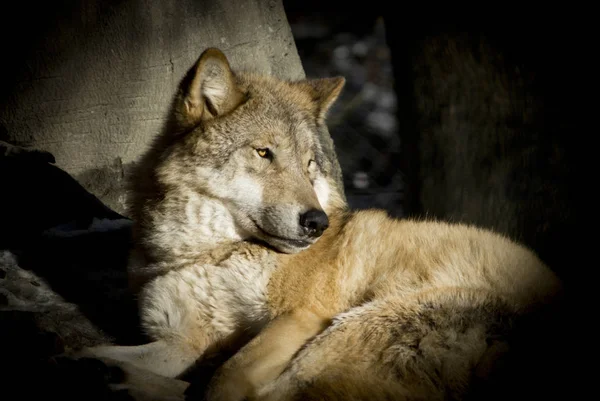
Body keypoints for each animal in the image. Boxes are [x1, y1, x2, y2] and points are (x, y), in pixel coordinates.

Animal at [72, 47, 564, 400]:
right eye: (264, 153)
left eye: (309, 164)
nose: (317, 223)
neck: (210, 253)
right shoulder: (182, 342)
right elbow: (112, 351)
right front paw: (90, 358)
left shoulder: (300, 317)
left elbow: (222, 382)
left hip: (352, 325)